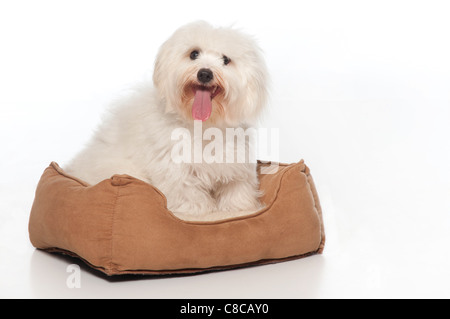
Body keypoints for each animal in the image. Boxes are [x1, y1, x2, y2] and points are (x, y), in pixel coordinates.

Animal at [65, 20, 268, 220]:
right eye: (194, 54)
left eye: (226, 60)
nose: (204, 73)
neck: (202, 125)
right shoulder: (176, 171)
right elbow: (189, 196)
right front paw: (198, 213)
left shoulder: (235, 167)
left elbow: (237, 192)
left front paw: (239, 209)